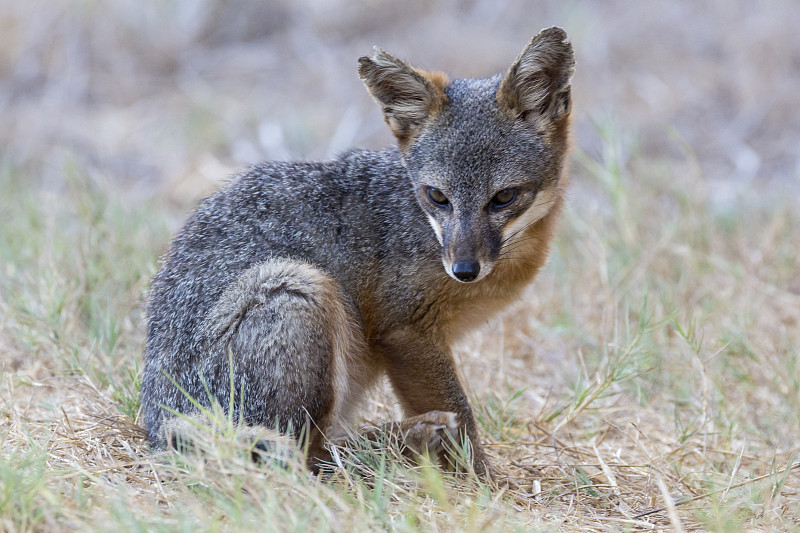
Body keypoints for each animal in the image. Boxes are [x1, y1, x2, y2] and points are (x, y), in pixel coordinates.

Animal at [141, 26, 572, 478]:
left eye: (504, 197)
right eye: (437, 197)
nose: (464, 269)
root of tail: (158, 424)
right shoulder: (406, 331)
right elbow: (462, 414)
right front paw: (482, 481)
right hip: (299, 287)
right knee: (308, 456)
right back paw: (407, 439)